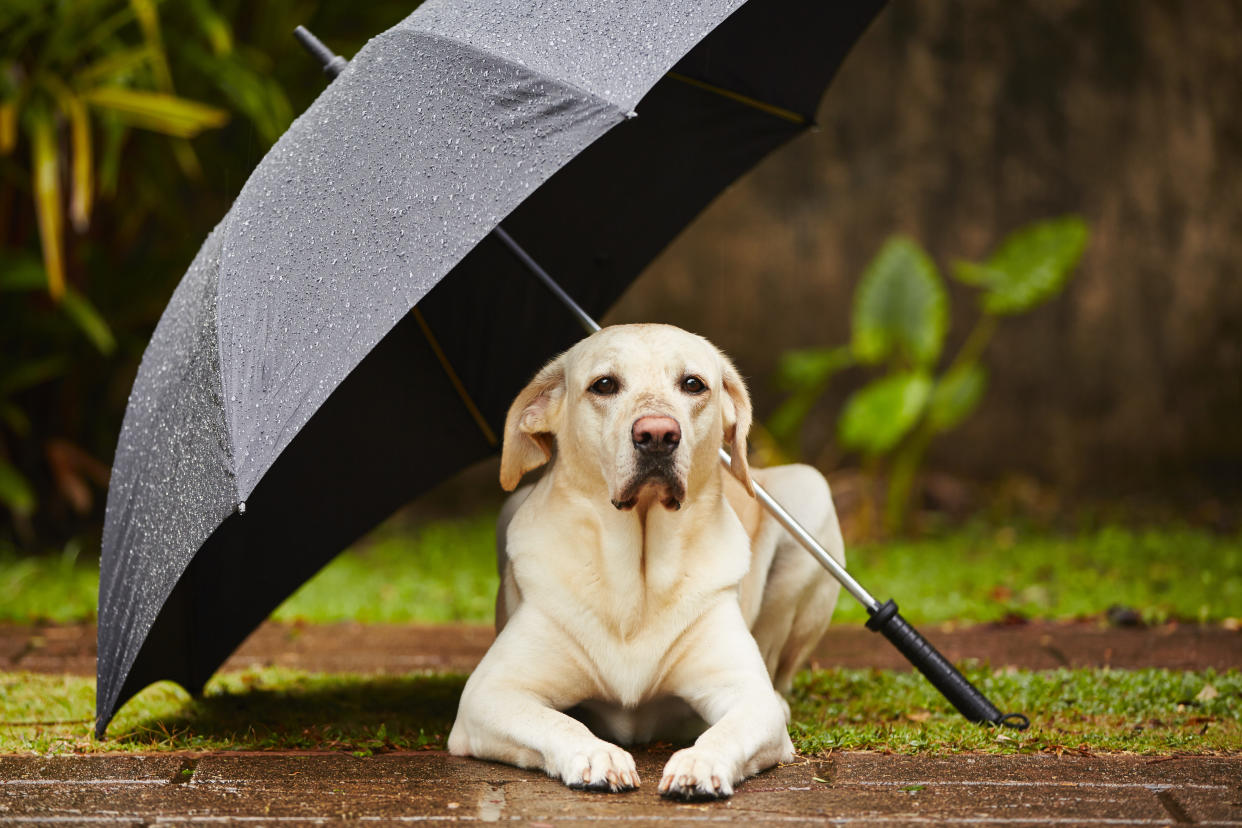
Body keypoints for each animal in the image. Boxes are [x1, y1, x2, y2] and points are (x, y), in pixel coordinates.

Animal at [447, 320, 844, 799]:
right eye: (604, 385)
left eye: (693, 384)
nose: (657, 434)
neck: (637, 577)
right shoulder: (489, 694)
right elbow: (557, 722)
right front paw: (596, 755)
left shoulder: (748, 694)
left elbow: (729, 729)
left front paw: (699, 763)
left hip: (812, 492)